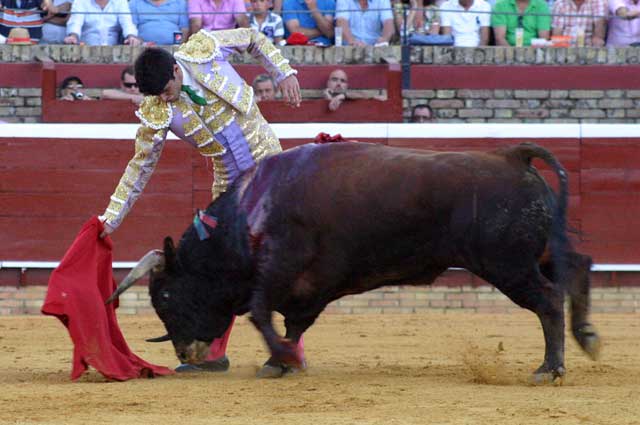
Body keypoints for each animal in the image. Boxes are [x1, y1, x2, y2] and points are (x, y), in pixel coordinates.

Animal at [107, 142, 604, 380]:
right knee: (578, 265)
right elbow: (292, 322)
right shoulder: (311, 287)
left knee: (548, 300)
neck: (250, 212)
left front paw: (279, 358)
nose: (183, 353)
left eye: (165, 296)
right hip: (535, 253)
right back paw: (588, 338)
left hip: (507, 263)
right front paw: (282, 361)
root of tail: (512, 156)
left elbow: (260, 314)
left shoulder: (278, 270)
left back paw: (550, 368)